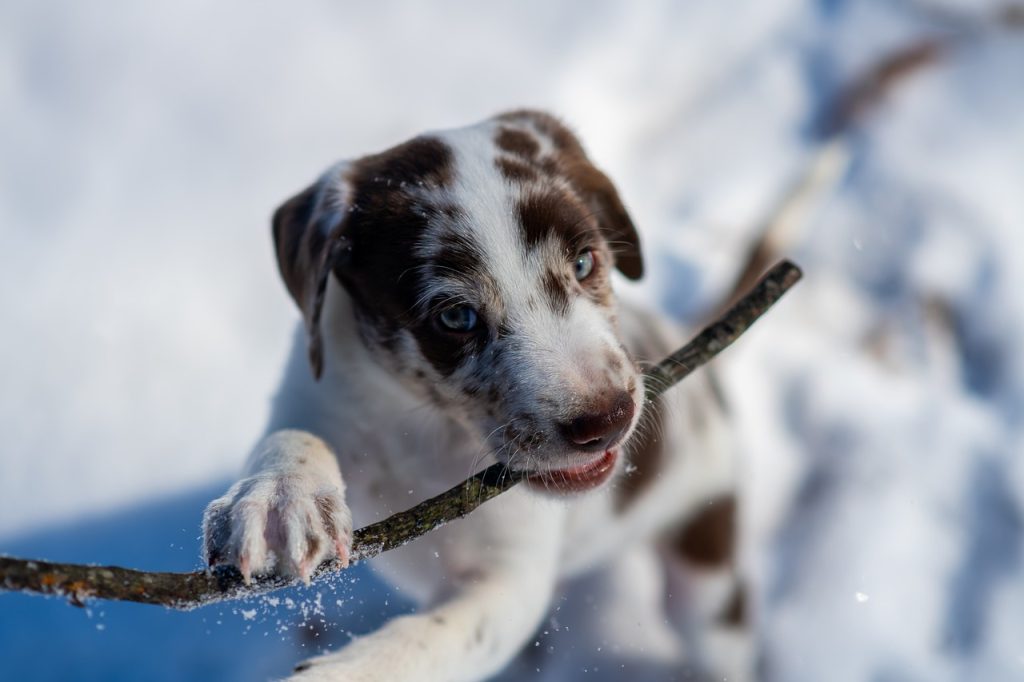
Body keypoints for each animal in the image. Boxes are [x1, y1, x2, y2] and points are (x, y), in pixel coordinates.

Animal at [203, 111, 749, 679]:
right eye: (455, 317)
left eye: (584, 263)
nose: (607, 420)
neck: (425, 428)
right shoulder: (315, 391)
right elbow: (294, 436)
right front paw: (277, 499)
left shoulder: (507, 579)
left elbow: (424, 643)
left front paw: (345, 672)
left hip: (705, 568)